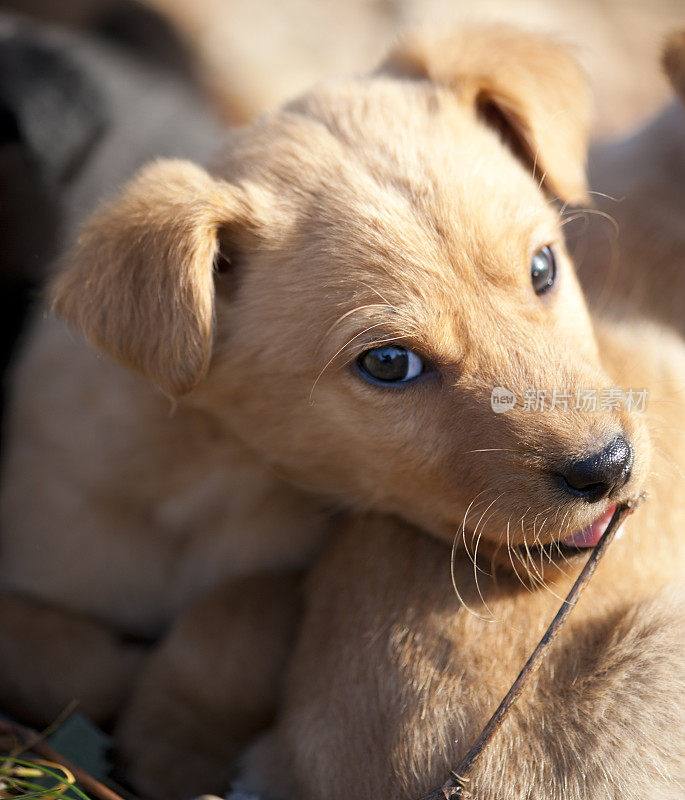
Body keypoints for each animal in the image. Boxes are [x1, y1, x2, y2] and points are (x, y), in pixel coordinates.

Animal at [0, 21, 656, 796]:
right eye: (388, 364)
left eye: (543, 268)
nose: (608, 466)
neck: (210, 469)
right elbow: (44, 650)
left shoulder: (281, 570)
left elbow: (235, 610)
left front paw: (173, 733)